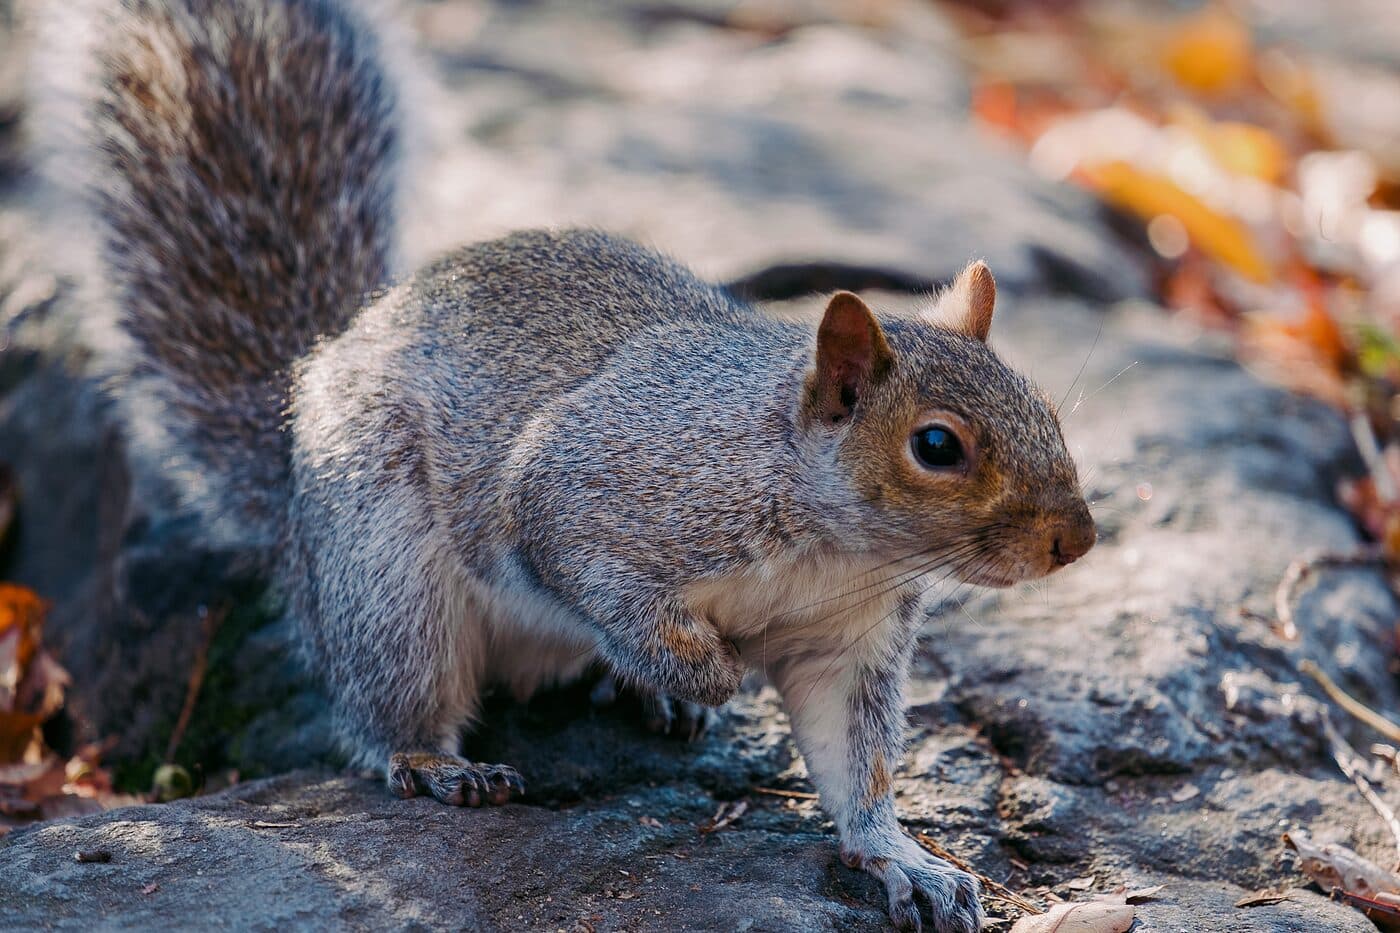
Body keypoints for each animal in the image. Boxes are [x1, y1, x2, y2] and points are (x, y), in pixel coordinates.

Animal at [71, 0, 1097, 930]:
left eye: (1045, 408)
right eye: (937, 446)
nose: (1077, 540)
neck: (833, 546)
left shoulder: (847, 640)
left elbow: (857, 762)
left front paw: (901, 858)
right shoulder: (591, 497)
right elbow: (586, 569)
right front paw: (702, 673)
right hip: (384, 572)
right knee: (385, 705)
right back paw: (443, 762)